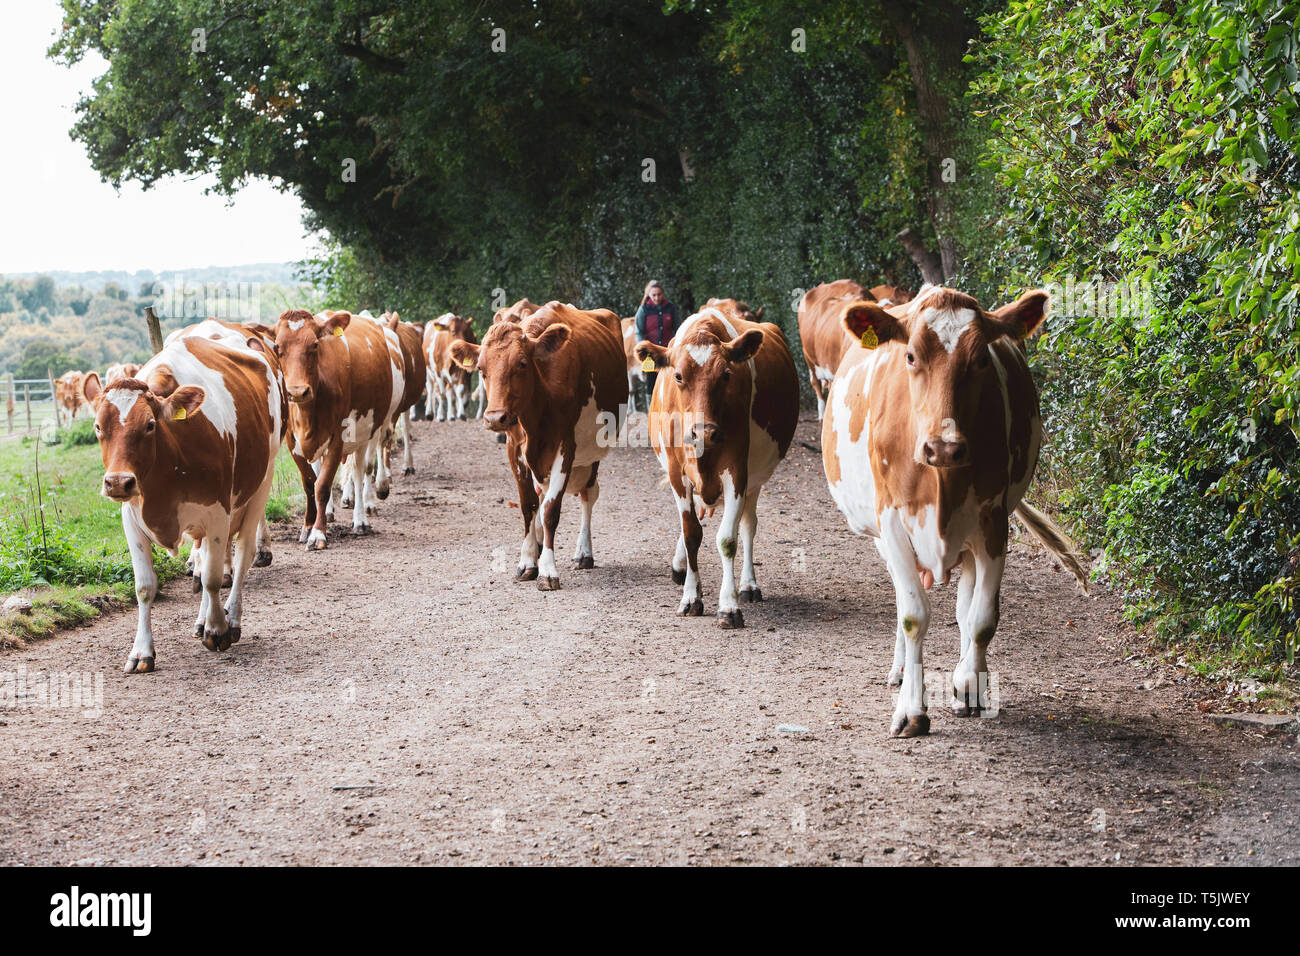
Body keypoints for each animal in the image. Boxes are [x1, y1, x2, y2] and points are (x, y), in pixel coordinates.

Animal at [81, 331, 284, 673]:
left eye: (150, 425)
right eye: (98, 427)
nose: (118, 482)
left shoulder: (217, 513)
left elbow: (215, 578)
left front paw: (218, 630)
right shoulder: (131, 517)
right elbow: (145, 586)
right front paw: (142, 651)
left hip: (261, 482)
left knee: (242, 554)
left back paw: (232, 618)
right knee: (202, 560)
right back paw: (202, 619)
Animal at [272, 308, 397, 549]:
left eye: (315, 345)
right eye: (277, 347)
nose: (297, 392)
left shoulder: (338, 438)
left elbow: (322, 487)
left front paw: (318, 534)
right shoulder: (293, 442)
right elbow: (310, 484)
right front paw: (308, 527)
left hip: (366, 433)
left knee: (359, 472)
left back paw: (360, 521)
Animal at [449, 301, 628, 590]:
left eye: (522, 363)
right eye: (481, 369)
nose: (494, 418)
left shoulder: (566, 446)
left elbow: (551, 510)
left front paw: (547, 570)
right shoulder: (514, 447)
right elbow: (529, 506)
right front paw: (528, 561)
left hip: (592, 455)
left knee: (588, 494)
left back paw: (584, 553)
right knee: (541, 495)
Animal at [635, 299, 798, 627]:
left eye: (726, 374)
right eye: (678, 376)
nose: (705, 431)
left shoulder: (737, 472)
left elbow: (727, 539)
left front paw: (729, 605)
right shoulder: (677, 474)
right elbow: (691, 534)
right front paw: (691, 597)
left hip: (756, 478)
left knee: (748, 526)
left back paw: (748, 585)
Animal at [821, 285, 1088, 737]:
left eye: (981, 359)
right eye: (910, 356)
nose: (943, 447)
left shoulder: (993, 522)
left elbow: (981, 617)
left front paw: (969, 685)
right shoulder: (892, 521)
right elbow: (912, 614)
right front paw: (911, 708)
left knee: (966, 607)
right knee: (904, 599)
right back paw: (899, 670)